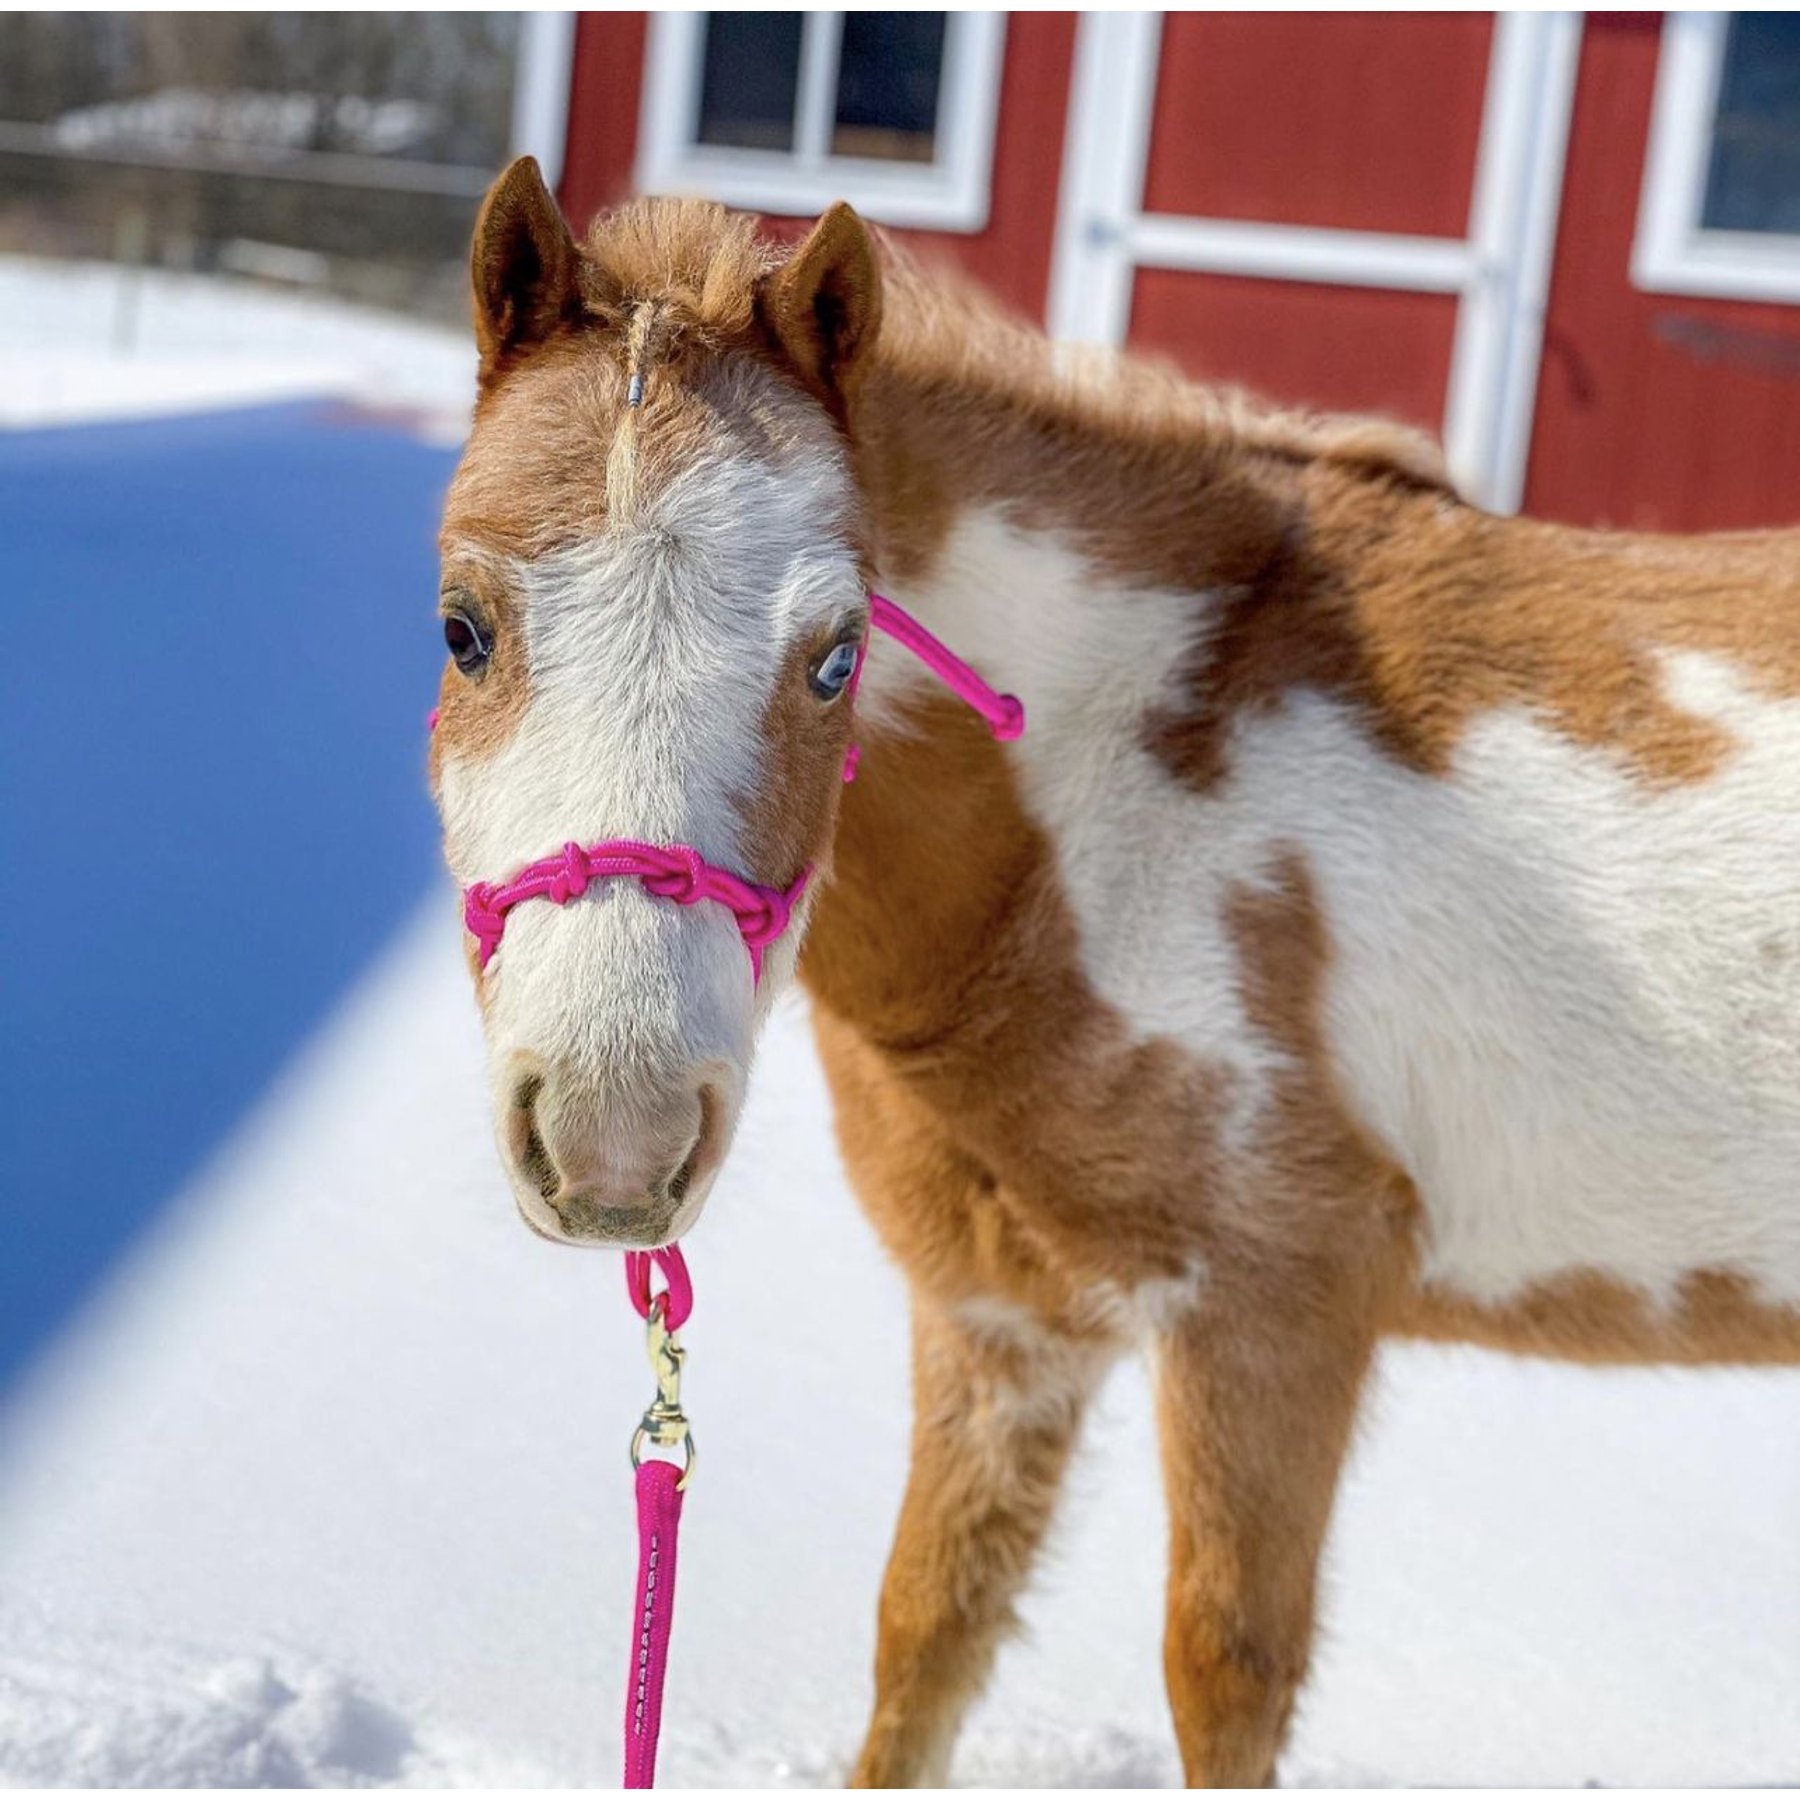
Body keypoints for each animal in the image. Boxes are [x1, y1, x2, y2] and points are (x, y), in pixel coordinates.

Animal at [428, 157, 1800, 1787]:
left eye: (836, 657)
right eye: (459, 629)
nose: (614, 1137)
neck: (1117, 798)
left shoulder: (1272, 1315)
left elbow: (1223, 1676)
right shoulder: (1002, 1325)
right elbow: (924, 1642)